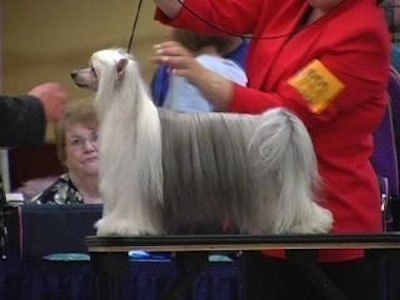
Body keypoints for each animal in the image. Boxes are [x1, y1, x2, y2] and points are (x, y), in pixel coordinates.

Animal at [70, 48, 332, 237]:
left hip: (270, 185)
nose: (73, 74)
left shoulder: (131, 185)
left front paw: (122, 226)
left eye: (93, 70)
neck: (129, 113)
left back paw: (311, 224)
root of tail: (276, 125)